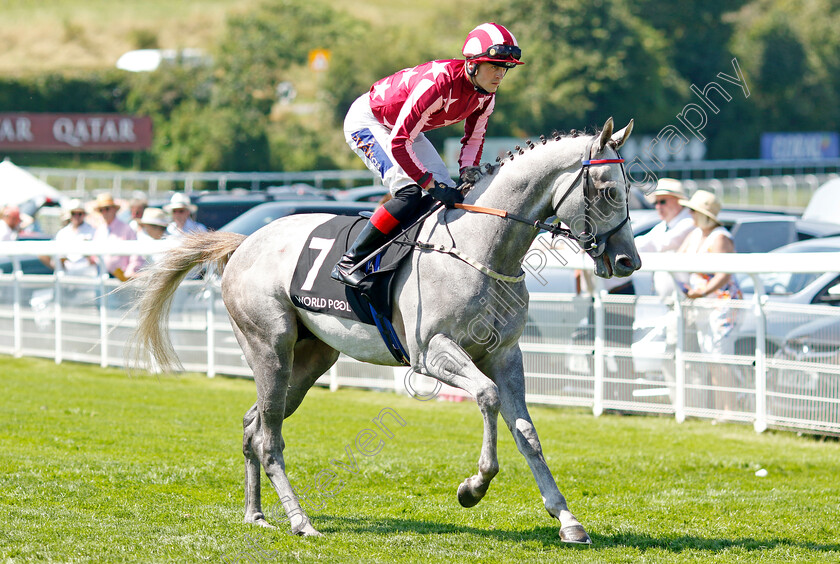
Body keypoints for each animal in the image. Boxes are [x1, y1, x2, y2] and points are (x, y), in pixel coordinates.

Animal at [131, 118, 640, 540]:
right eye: (607, 190)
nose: (627, 261)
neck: (481, 249)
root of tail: (244, 243)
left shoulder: (505, 355)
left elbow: (526, 432)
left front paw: (567, 519)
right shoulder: (432, 353)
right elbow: (487, 397)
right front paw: (472, 487)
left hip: (310, 360)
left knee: (253, 423)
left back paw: (256, 513)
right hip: (269, 348)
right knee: (269, 439)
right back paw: (300, 521)